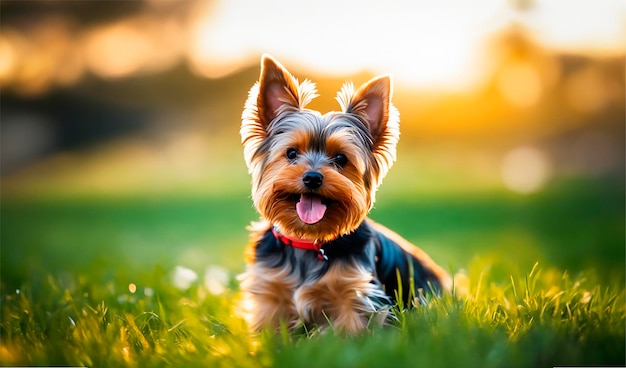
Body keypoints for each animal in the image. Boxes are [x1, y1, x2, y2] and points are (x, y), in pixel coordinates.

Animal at [236, 54, 446, 334]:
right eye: (291, 153)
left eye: (340, 158)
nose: (312, 177)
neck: (310, 241)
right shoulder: (270, 292)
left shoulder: (356, 293)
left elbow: (350, 331)